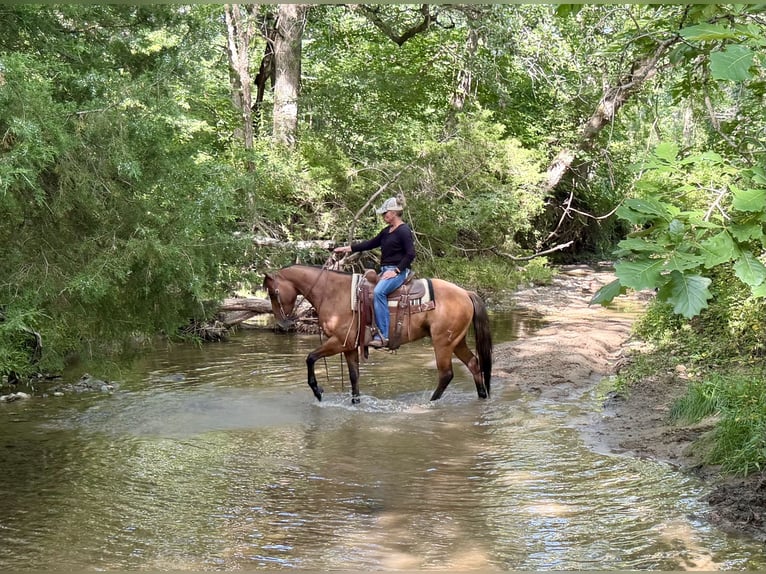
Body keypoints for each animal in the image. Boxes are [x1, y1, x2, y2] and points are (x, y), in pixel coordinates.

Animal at [263, 264, 492, 404]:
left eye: (273, 292)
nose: (282, 322)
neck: (333, 293)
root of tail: (465, 293)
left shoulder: (338, 342)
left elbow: (310, 358)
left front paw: (318, 391)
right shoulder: (349, 346)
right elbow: (354, 376)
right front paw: (355, 402)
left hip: (442, 342)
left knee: (446, 374)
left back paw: (430, 403)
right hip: (457, 341)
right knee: (474, 364)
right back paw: (482, 396)